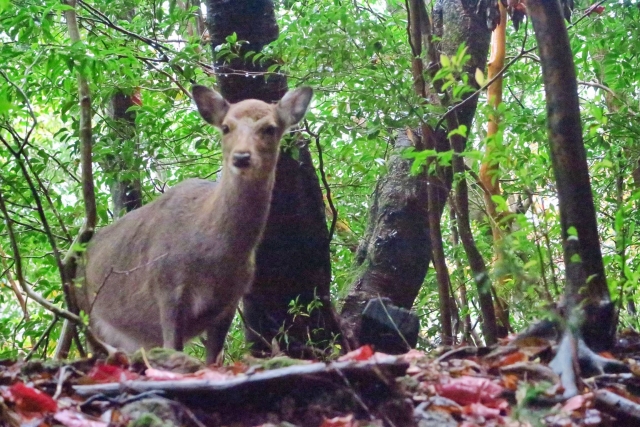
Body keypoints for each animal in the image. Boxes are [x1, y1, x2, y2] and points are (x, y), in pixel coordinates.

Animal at [79, 84, 314, 364]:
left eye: (269, 128)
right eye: (226, 127)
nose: (241, 157)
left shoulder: (230, 300)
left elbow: (212, 359)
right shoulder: (166, 284)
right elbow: (174, 348)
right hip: (88, 311)